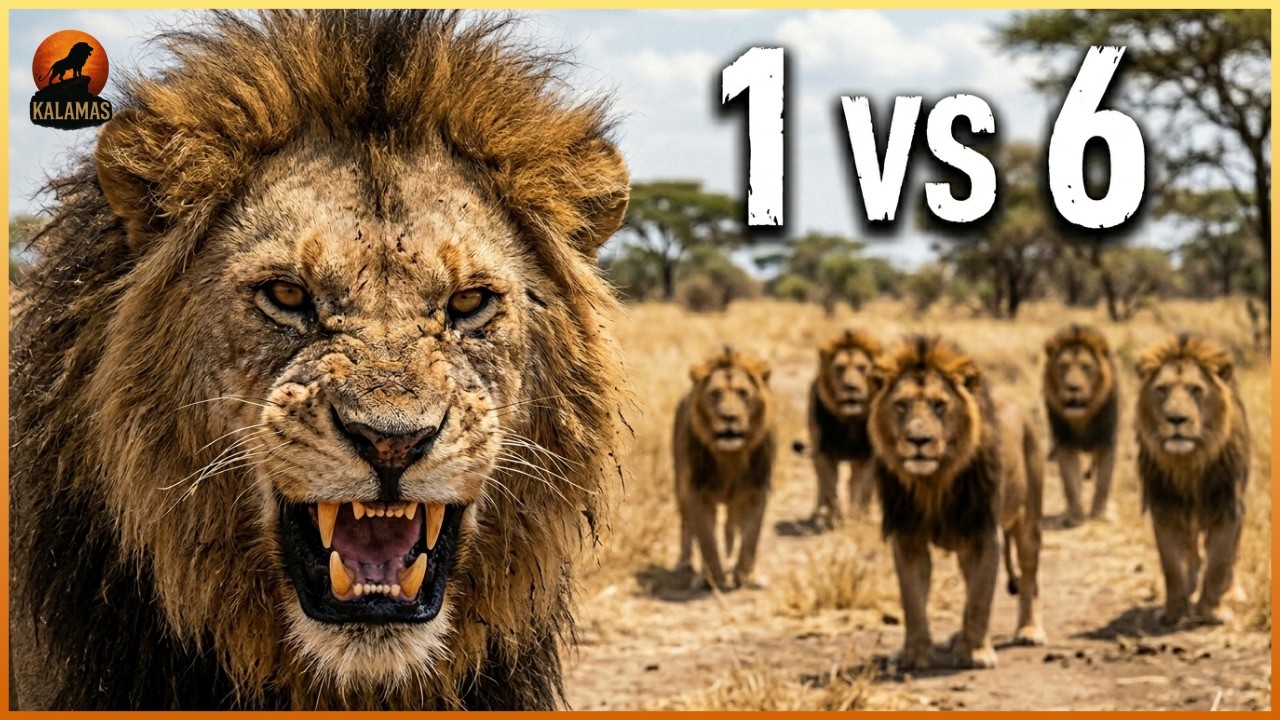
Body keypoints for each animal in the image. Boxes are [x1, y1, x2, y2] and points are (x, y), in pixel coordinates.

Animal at [673, 346, 777, 591]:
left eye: (743, 393)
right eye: (715, 393)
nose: (729, 417)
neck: (731, 458)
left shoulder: (756, 493)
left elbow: (750, 537)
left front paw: (744, 576)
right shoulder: (697, 493)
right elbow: (707, 541)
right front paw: (714, 578)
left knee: (731, 527)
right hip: (680, 488)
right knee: (687, 524)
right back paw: (687, 565)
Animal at [808, 329, 883, 526]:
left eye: (862, 367)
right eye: (839, 368)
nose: (851, 387)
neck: (850, 419)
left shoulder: (869, 456)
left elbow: (860, 485)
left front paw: (856, 516)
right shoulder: (823, 453)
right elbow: (831, 486)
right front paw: (835, 519)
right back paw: (819, 514)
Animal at [868, 336, 1046, 670]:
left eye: (940, 404)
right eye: (901, 405)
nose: (918, 441)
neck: (933, 482)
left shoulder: (984, 535)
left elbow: (979, 599)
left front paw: (976, 652)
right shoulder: (908, 538)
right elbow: (912, 601)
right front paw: (914, 654)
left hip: (1029, 521)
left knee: (1029, 577)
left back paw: (1029, 630)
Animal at [1043, 324, 1119, 526]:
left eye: (1086, 367)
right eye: (1063, 366)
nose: (1073, 387)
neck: (1081, 418)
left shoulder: (1105, 442)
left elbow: (1103, 482)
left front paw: (1098, 513)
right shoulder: (1065, 443)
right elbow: (1070, 482)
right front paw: (1076, 514)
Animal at [1135, 334, 1250, 626]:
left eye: (1196, 389)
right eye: (1162, 389)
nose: (1176, 419)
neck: (1189, 463)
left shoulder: (1228, 508)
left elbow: (1220, 562)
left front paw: (1211, 611)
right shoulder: (1165, 509)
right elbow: (1172, 566)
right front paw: (1174, 610)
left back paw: (1232, 592)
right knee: (1192, 551)